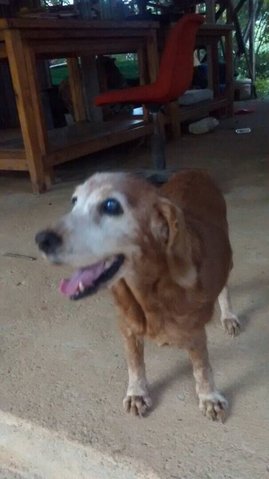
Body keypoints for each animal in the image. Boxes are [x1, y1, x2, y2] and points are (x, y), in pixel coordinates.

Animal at [35, 171, 239, 422]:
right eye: (74, 201)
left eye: (111, 205)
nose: (41, 240)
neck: (147, 293)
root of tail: (194, 171)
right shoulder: (127, 327)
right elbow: (135, 362)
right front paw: (137, 392)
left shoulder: (195, 333)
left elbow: (202, 368)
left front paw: (209, 397)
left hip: (227, 256)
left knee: (224, 285)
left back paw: (228, 315)